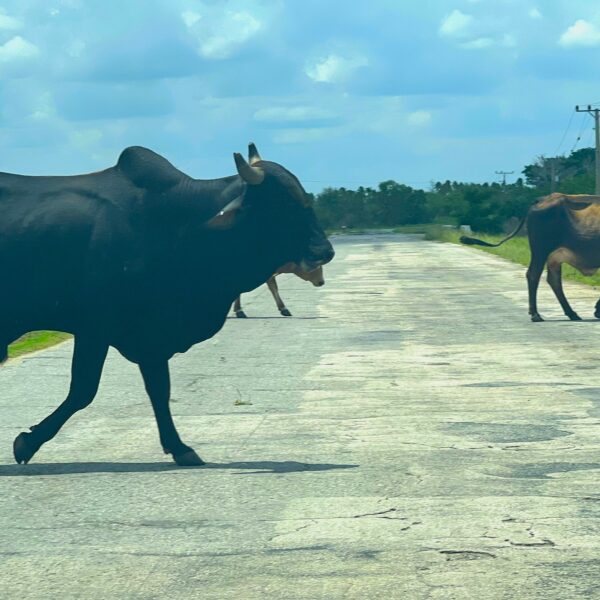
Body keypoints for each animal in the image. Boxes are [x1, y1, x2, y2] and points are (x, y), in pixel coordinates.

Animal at [3, 143, 332, 466]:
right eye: (281, 204)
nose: (325, 250)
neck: (178, 223)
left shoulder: (151, 335)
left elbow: (159, 391)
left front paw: (180, 447)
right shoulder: (95, 327)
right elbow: (83, 390)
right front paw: (27, 443)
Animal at [462, 195, 600, 322]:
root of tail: (544, 198)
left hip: (553, 257)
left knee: (553, 280)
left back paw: (571, 313)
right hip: (540, 251)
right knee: (534, 275)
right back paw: (535, 314)